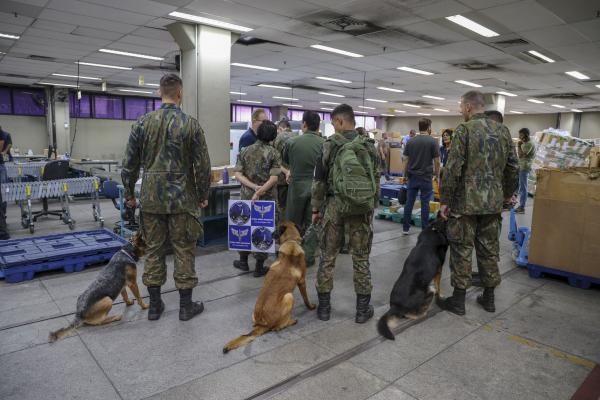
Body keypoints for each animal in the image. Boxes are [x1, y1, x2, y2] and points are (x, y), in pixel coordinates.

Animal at [224, 222, 318, 354]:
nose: (271, 234)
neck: (291, 242)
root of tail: (262, 324)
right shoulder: (302, 281)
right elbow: (306, 299)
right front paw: (310, 307)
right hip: (289, 296)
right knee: (277, 327)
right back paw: (290, 321)